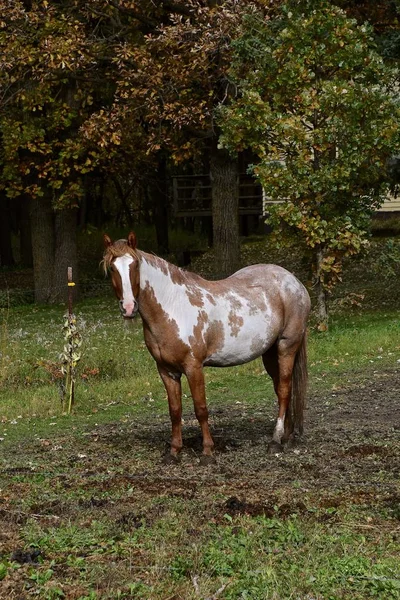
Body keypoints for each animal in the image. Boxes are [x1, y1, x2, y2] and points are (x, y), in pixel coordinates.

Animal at [102, 231, 310, 464]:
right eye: (112, 268)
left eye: (135, 265)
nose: (129, 308)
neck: (173, 307)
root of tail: (294, 282)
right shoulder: (166, 371)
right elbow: (175, 410)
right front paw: (174, 452)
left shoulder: (193, 367)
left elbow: (200, 408)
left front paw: (208, 452)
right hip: (270, 353)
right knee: (283, 388)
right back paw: (288, 438)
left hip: (286, 346)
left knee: (284, 390)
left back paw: (275, 441)